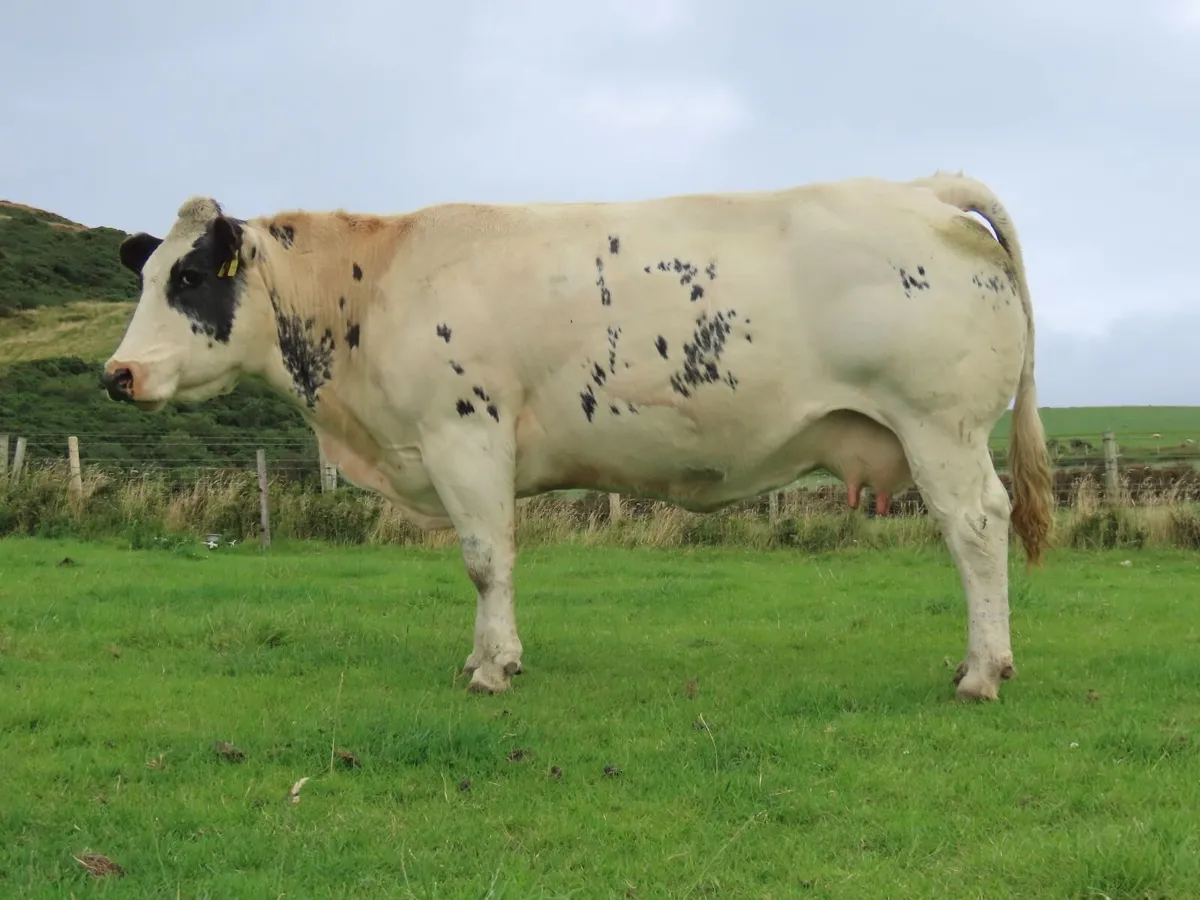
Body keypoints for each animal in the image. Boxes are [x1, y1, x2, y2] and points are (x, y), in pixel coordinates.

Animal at [102, 171, 1054, 702]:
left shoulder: (464, 433)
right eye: (149, 275)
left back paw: (983, 671)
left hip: (940, 425)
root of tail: (922, 188)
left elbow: (486, 559)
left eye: (190, 278)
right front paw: (488, 656)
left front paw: (492, 667)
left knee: (976, 528)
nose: (118, 373)